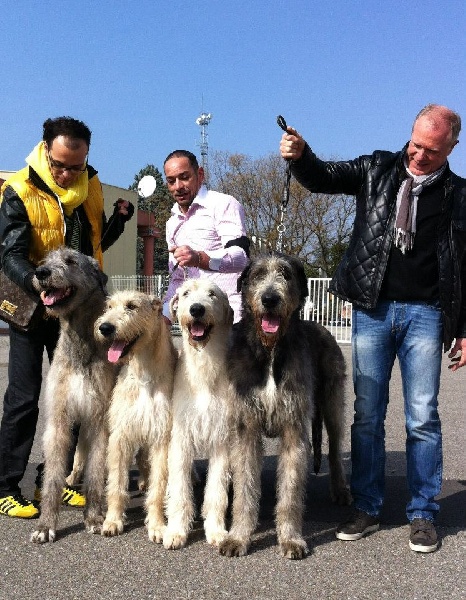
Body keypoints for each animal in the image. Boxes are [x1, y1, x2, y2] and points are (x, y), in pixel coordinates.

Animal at [31, 247, 117, 543]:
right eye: (45, 260)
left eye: (70, 261)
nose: (40, 272)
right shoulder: (59, 417)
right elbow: (52, 477)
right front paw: (45, 524)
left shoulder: (100, 418)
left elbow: (96, 472)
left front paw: (93, 518)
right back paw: (72, 477)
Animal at [95, 290, 177, 542]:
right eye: (109, 306)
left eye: (131, 306)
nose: (105, 327)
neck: (144, 374)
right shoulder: (121, 435)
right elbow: (116, 483)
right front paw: (113, 520)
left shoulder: (162, 437)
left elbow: (158, 486)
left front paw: (157, 525)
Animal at [163, 278, 234, 550]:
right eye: (185, 293)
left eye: (212, 294)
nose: (196, 309)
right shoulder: (180, 438)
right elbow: (179, 489)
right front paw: (175, 531)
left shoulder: (222, 439)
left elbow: (216, 491)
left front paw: (215, 531)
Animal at [219, 253, 351, 560]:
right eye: (257, 275)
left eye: (286, 274)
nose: (270, 299)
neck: (269, 351)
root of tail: (320, 326)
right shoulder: (246, 428)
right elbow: (245, 488)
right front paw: (239, 536)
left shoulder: (294, 427)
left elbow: (290, 490)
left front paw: (291, 538)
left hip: (332, 401)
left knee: (335, 448)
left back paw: (340, 489)